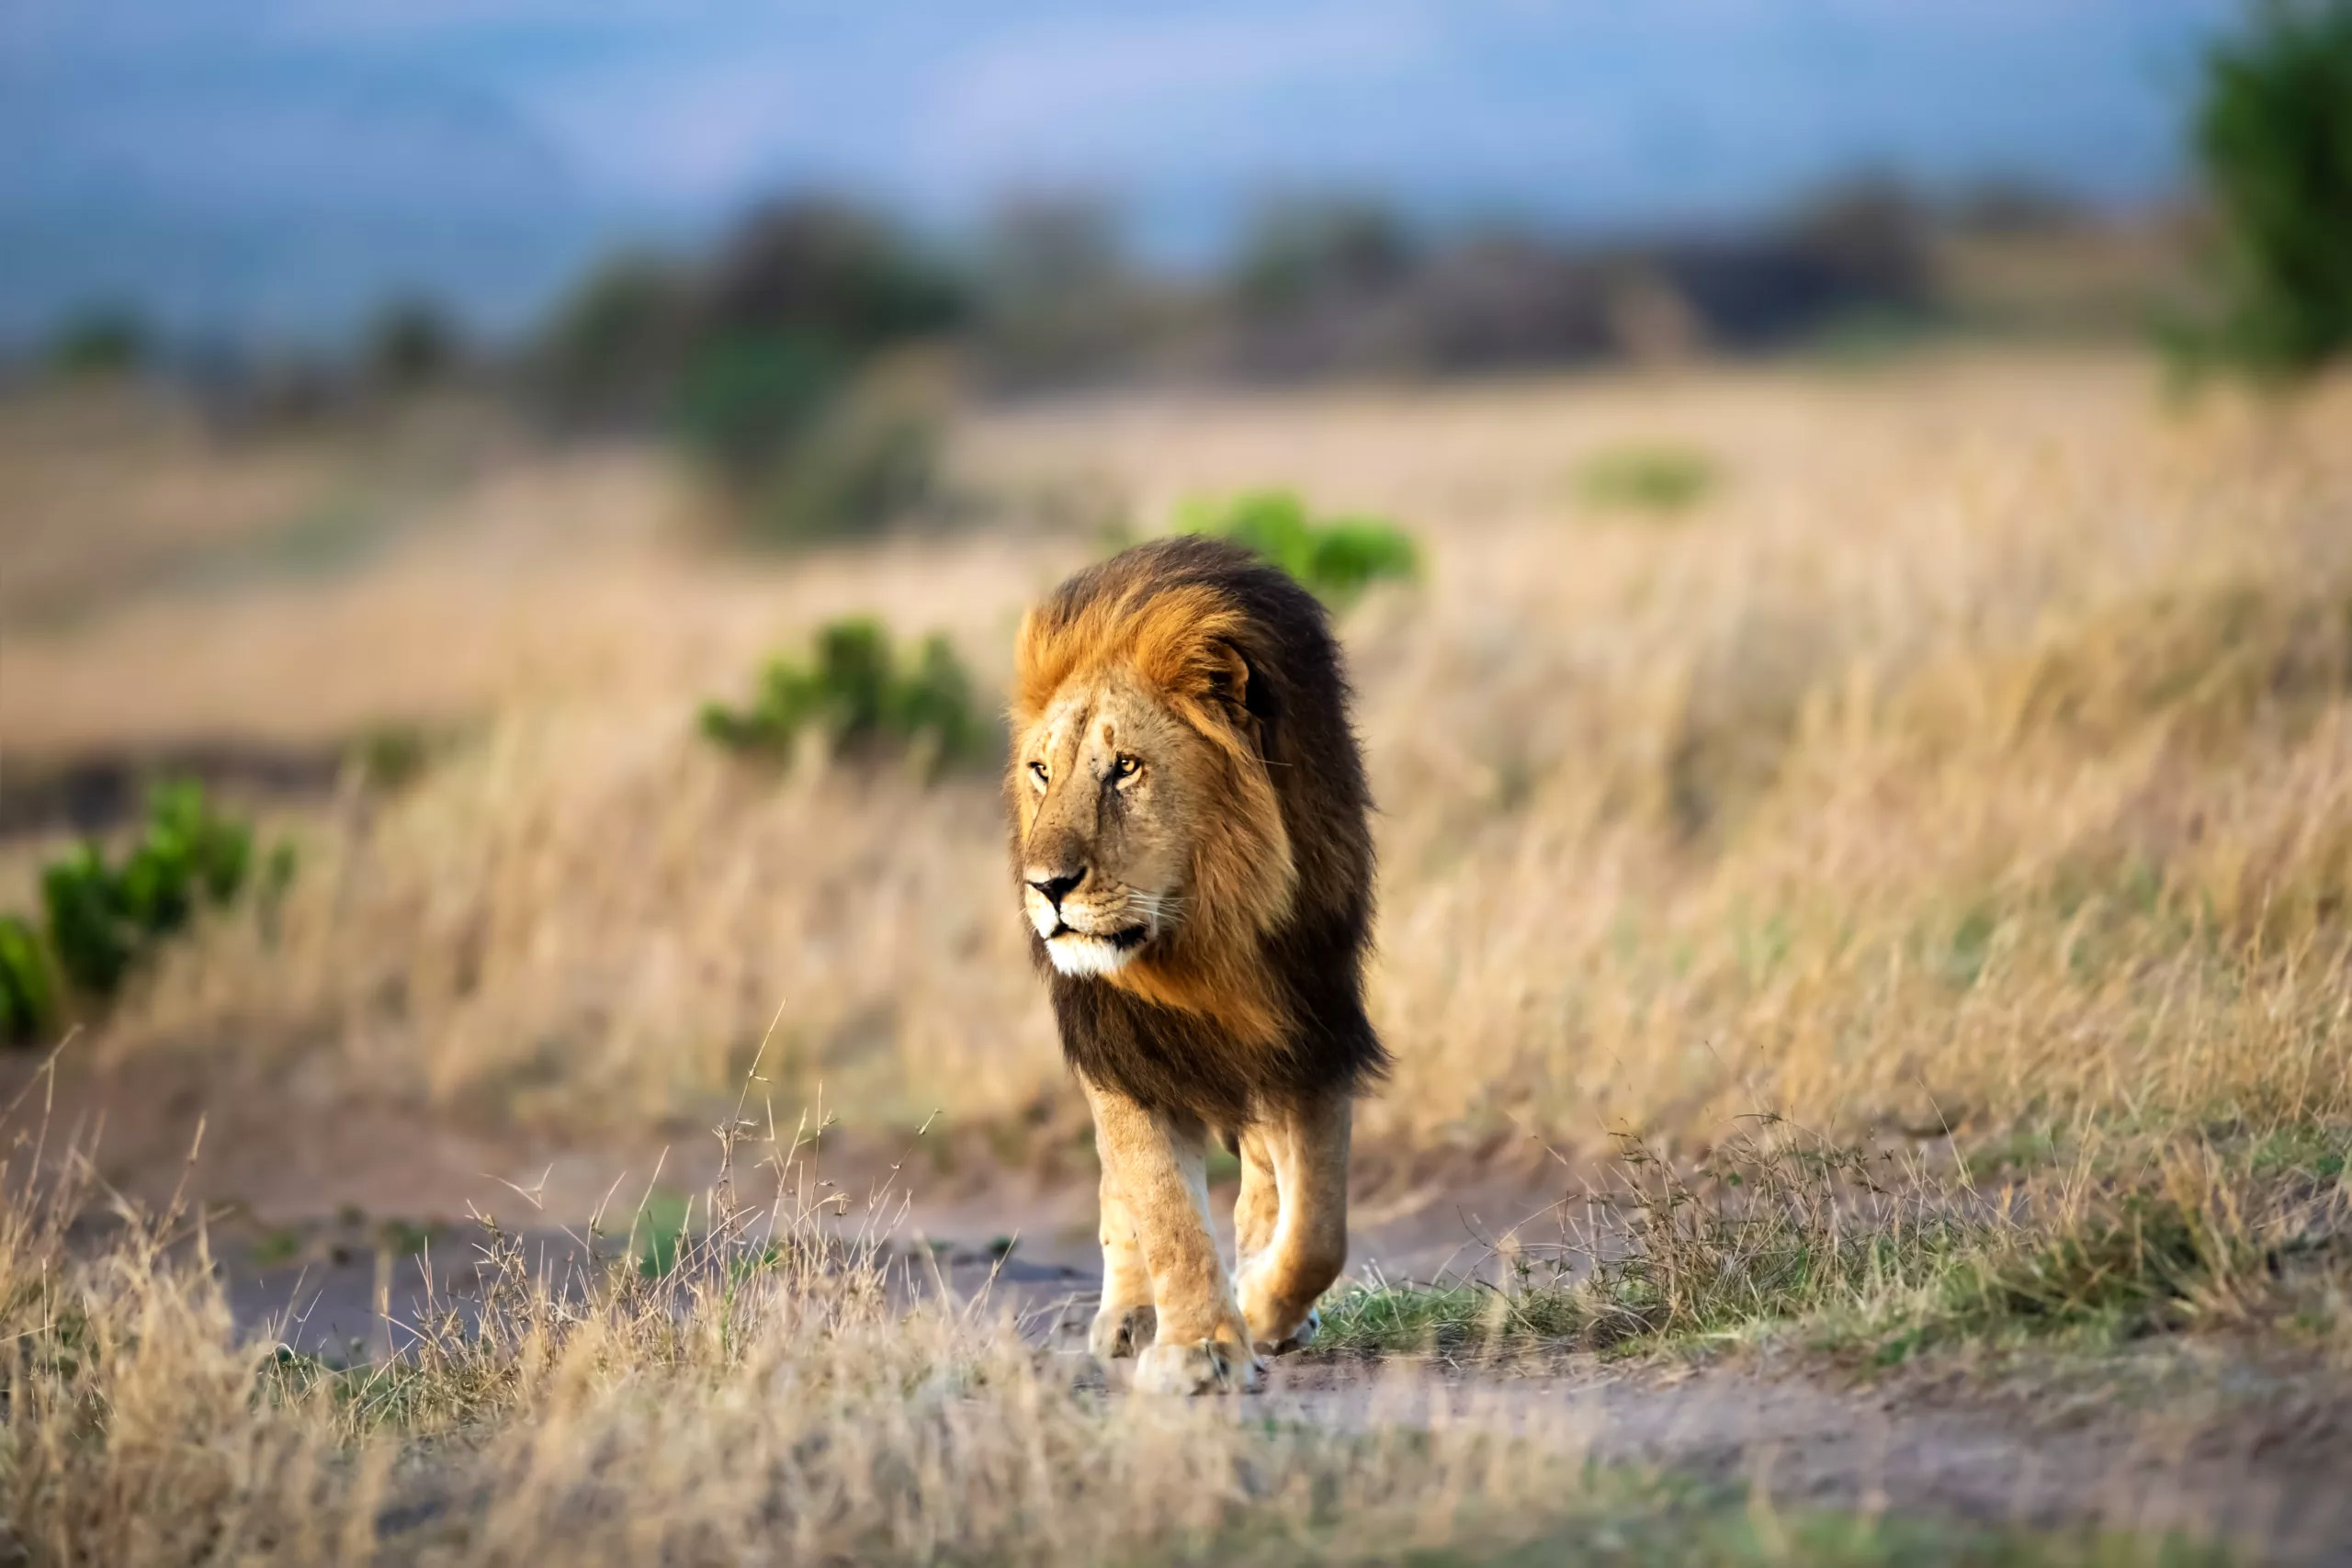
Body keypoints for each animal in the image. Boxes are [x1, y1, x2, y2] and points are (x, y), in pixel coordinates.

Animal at [1007, 535, 1389, 1395]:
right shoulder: (1120, 1040)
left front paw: (1264, 1304)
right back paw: (1131, 1315)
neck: (1201, 935)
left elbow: (1319, 1226)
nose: (1046, 886)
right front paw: (1199, 1347)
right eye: (1043, 771)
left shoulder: (1314, 1025)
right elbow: (1162, 1204)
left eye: (1125, 768)